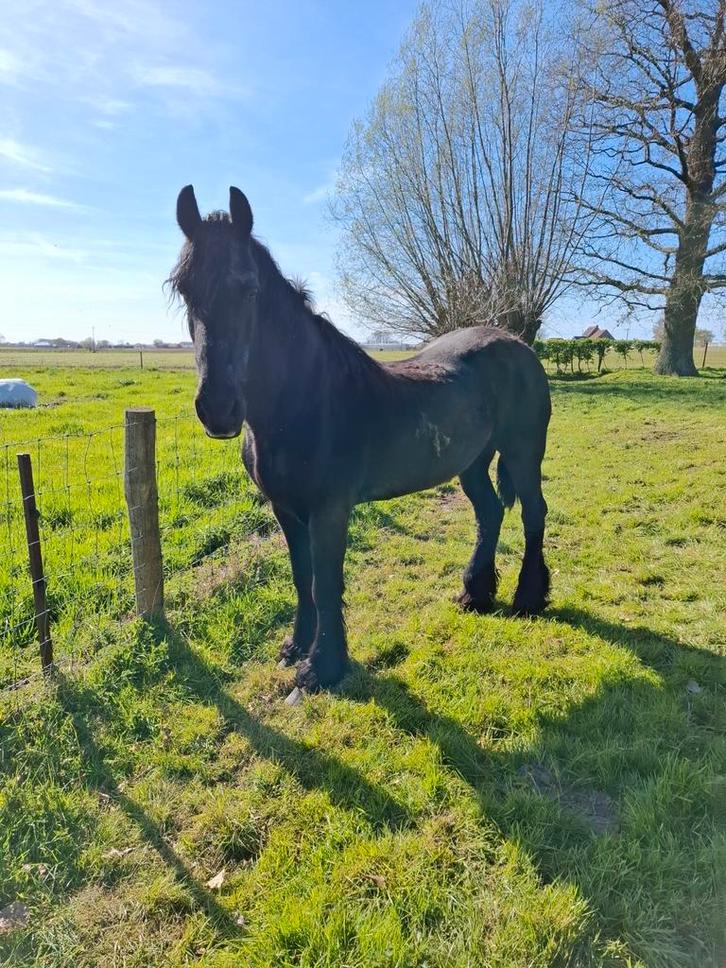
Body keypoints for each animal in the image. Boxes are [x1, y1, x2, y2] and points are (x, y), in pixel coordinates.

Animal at [169, 185, 552, 696]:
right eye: (184, 290)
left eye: (248, 288)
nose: (218, 408)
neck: (305, 402)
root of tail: (519, 345)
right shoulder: (286, 509)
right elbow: (301, 577)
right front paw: (295, 647)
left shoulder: (329, 510)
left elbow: (325, 582)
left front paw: (322, 667)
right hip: (471, 462)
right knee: (489, 514)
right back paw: (475, 593)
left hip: (524, 452)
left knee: (532, 513)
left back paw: (529, 598)